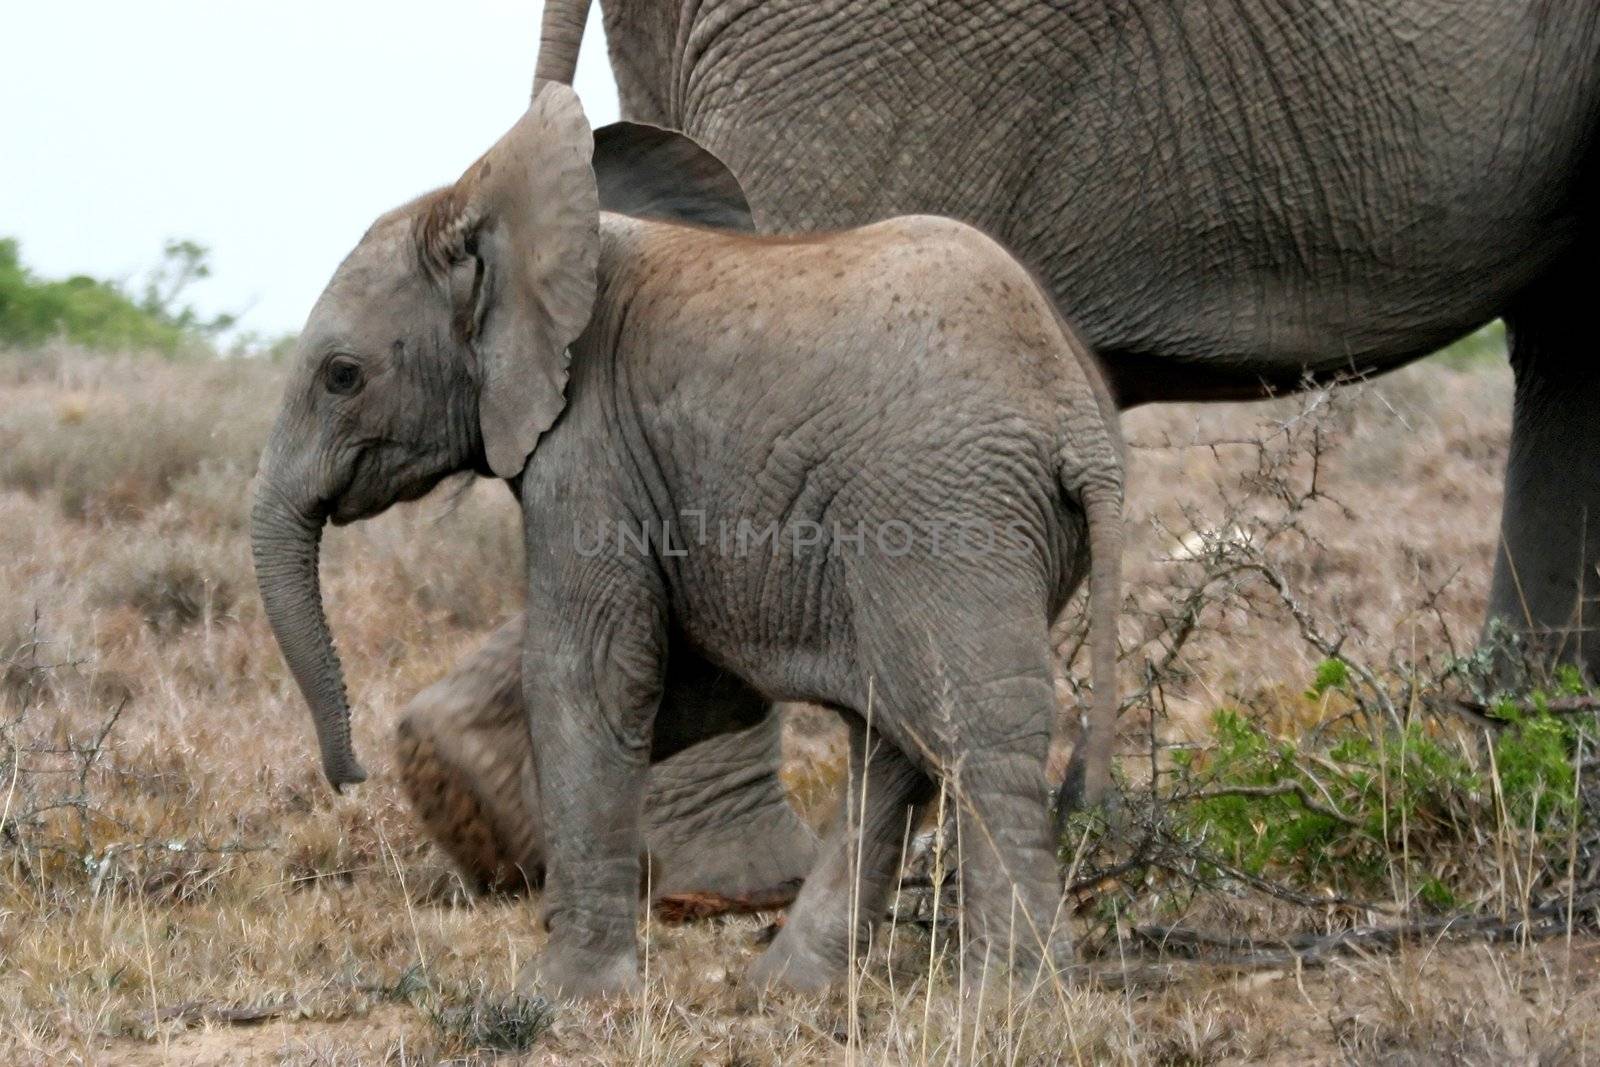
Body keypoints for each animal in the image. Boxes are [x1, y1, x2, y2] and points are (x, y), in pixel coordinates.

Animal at [252, 83, 1126, 1004]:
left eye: (341, 376)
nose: (349, 778)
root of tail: (1077, 420)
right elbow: (688, 686)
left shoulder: (590, 444)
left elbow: (593, 673)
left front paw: (563, 994)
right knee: (891, 741)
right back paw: (788, 987)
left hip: (941, 507)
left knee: (974, 736)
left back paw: (1009, 1001)